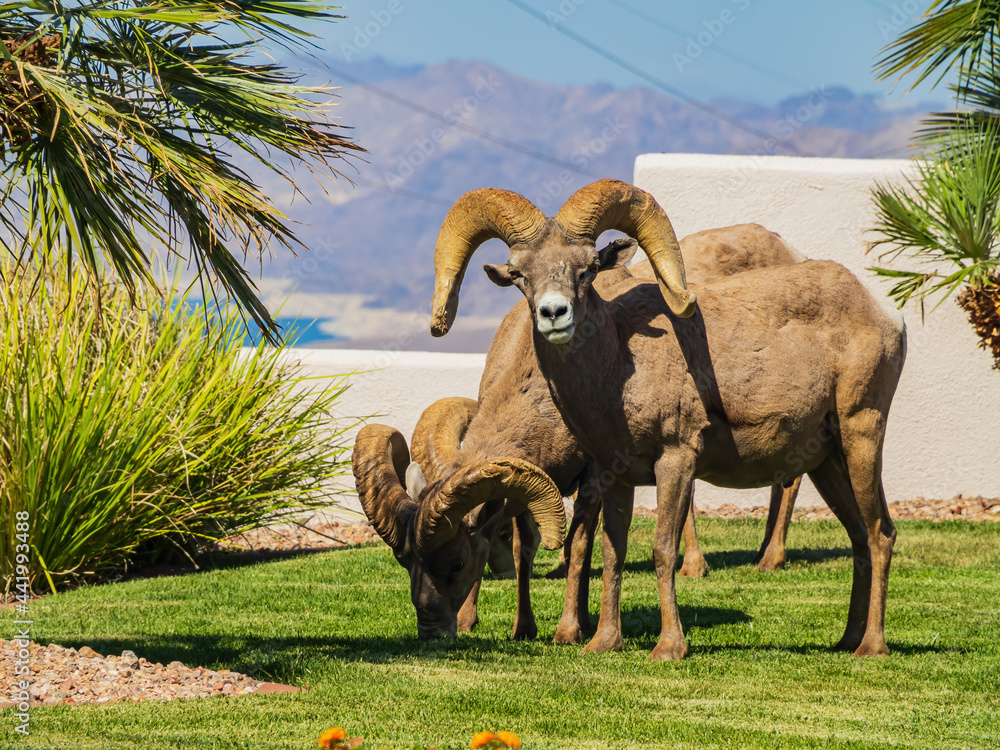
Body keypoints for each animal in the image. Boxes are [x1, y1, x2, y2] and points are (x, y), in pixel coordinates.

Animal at [428, 178, 906, 659]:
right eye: (520, 274)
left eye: (587, 269)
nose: (553, 314)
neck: (621, 365)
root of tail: (886, 315)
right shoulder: (612, 476)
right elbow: (611, 552)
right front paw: (602, 642)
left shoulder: (674, 461)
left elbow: (661, 550)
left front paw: (668, 647)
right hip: (827, 462)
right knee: (859, 536)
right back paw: (847, 639)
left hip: (862, 433)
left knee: (880, 533)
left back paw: (871, 647)